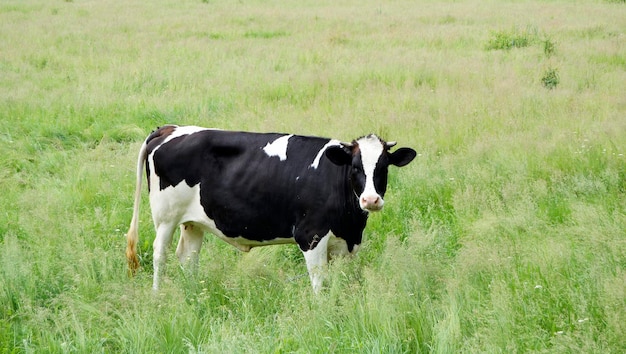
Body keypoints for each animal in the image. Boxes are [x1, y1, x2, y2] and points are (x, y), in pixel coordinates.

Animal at [125, 126, 414, 292]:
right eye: (355, 167)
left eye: (383, 167)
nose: (371, 200)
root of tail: (168, 128)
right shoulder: (310, 236)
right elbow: (319, 282)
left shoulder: (346, 244)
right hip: (165, 217)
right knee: (160, 254)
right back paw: (158, 296)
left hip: (193, 222)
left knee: (187, 256)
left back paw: (194, 292)